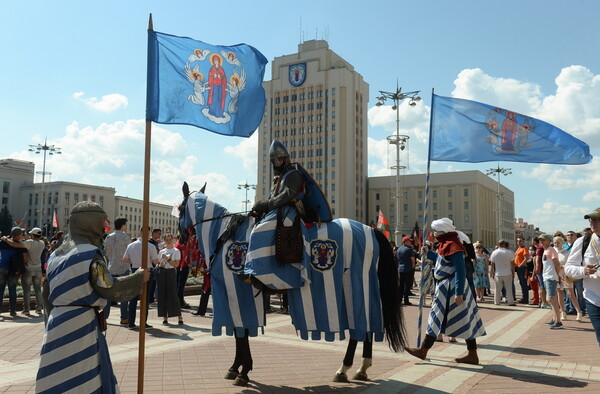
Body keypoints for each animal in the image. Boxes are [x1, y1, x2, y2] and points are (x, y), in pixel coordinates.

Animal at [176, 183, 406, 386]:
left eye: (179, 208)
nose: (181, 236)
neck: (224, 235)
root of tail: (371, 231)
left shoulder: (236, 294)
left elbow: (241, 333)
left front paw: (242, 371)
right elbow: (239, 332)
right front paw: (236, 368)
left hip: (358, 286)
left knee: (363, 328)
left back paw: (346, 368)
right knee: (364, 329)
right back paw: (359, 369)